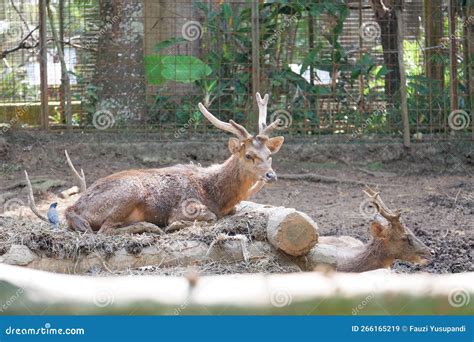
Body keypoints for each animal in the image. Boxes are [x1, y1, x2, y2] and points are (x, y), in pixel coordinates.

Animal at [54, 93, 286, 235]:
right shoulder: (186, 207)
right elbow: (208, 217)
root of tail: (72, 209)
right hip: (129, 190)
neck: (217, 195)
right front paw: (174, 225)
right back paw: (149, 226)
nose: (271, 175)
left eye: (268, 154)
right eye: (248, 155)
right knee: (105, 230)